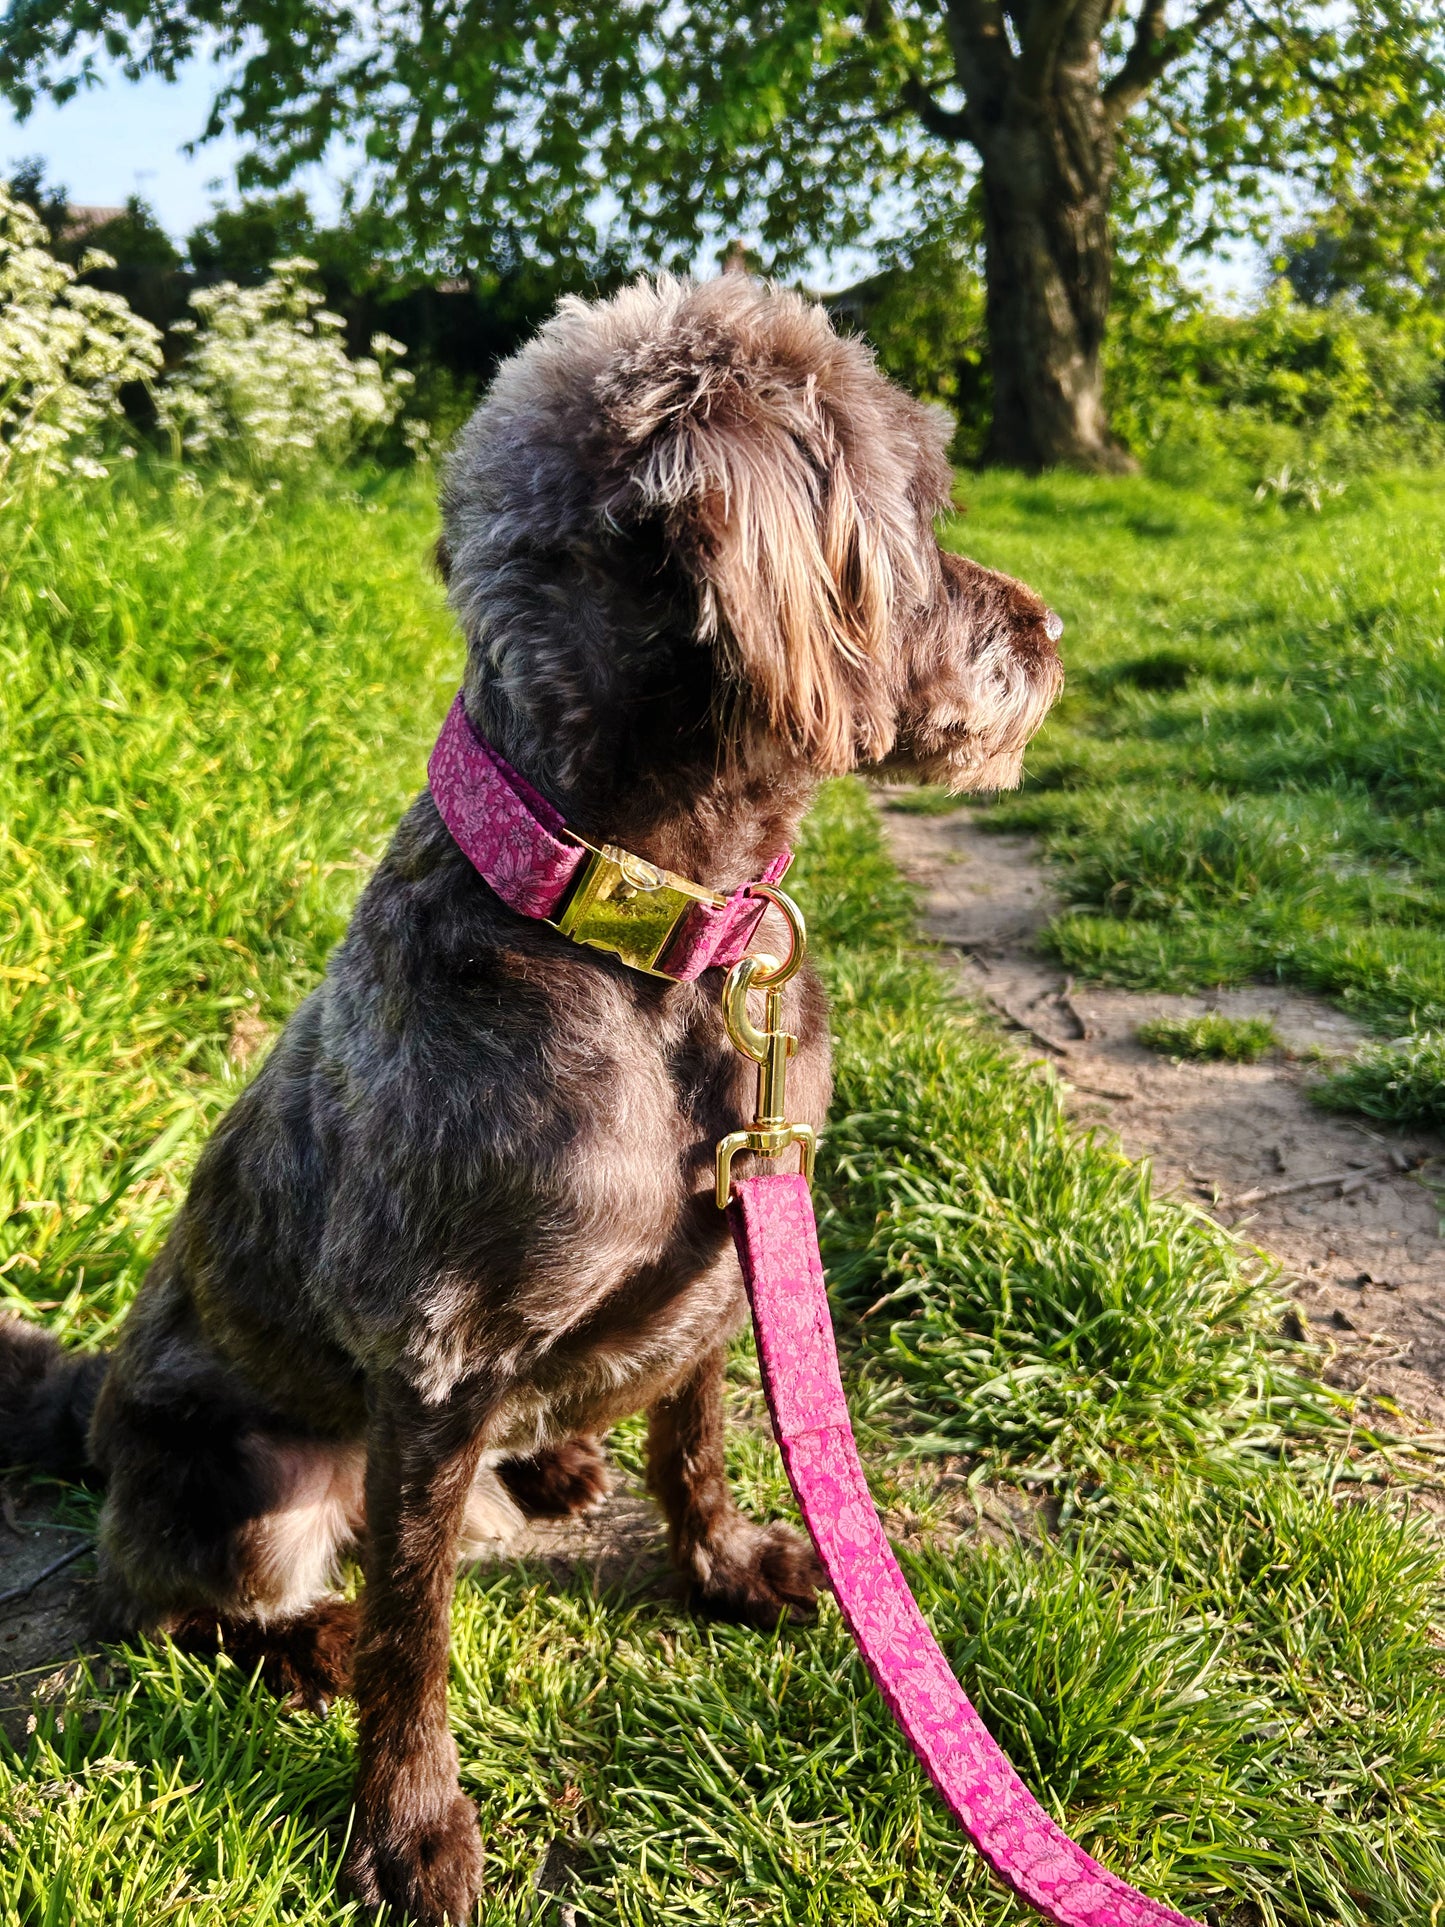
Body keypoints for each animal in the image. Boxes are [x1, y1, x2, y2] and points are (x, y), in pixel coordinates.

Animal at [0, 275, 1063, 1927]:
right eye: (924, 515)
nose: (1050, 631)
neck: (639, 941)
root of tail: (92, 1399)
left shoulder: (728, 1251)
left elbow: (696, 1442)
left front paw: (724, 1561)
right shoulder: (434, 1363)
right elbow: (413, 1621)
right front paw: (406, 1823)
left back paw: (556, 1456)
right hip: (239, 1484)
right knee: (171, 1602)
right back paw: (300, 1638)